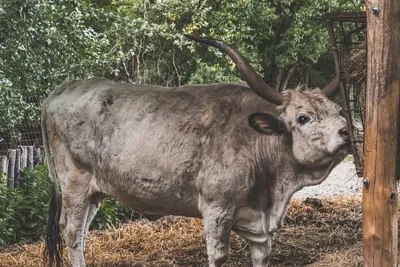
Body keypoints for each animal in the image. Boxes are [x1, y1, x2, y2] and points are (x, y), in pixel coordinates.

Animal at [43, 35, 348, 267]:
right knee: (72, 231)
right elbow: (219, 256)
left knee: (81, 231)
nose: (346, 131)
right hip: (75, 182)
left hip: (95, 190)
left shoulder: (260, 228)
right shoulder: (217, 209)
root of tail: (65, 88)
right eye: (303, 118)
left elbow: (262, 256)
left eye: (338, 110)